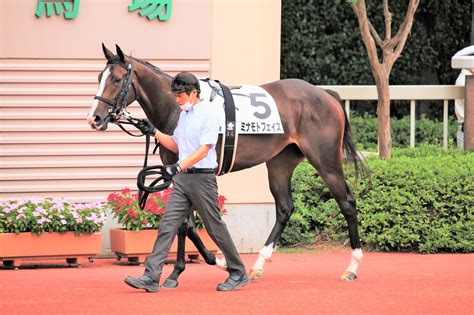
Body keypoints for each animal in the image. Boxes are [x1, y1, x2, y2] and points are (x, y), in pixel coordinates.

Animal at [87, 43, 364, 284]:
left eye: (116, 79)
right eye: (100, 76)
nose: (94, 118)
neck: (179, 110)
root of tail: (326, 94)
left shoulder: (189, 171)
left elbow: (188, 224)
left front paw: (214, 262)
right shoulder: (179, 173)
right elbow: (184, 224)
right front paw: (181, 270)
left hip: (326, 160)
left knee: (347, 203)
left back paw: (352, 267)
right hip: (279, 163)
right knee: (285, 208)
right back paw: (258, 265)